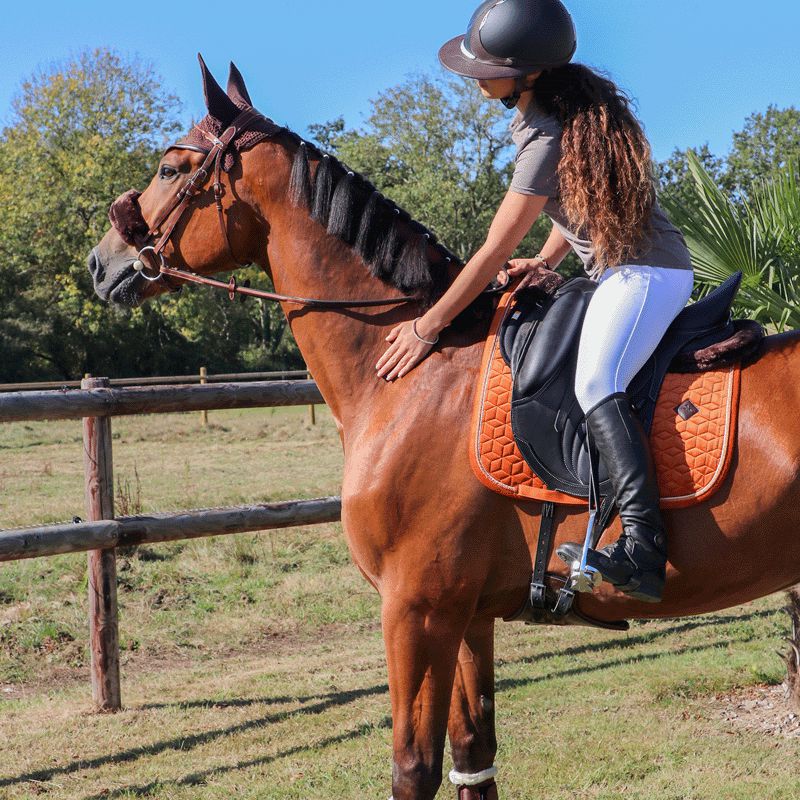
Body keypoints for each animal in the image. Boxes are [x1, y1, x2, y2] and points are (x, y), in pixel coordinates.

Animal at [86, 61, 800, 800]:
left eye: (170, 168)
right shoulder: (465, 613)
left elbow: (414, 767)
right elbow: (473, 757)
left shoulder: (416, 608)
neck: (410, 380)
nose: (100, 265)